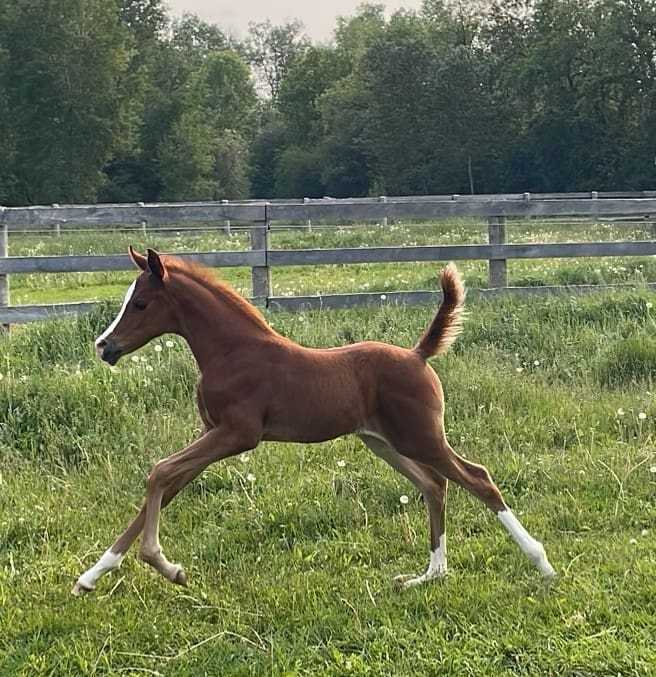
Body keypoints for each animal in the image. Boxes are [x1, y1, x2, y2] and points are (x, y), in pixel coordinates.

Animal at [72, 246, 552, 596]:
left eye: (140, 303)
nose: (103, 346)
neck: (232, 351)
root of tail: (418, 355)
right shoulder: (211, 434)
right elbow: (164, 486)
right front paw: (91, 577)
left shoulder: (237, 435)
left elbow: (158, 473)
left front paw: (165, 566)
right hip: (383, 442)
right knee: (435, 485)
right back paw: (429, 575)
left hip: (420, 438)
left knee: (478, 478)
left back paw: (541, 563)